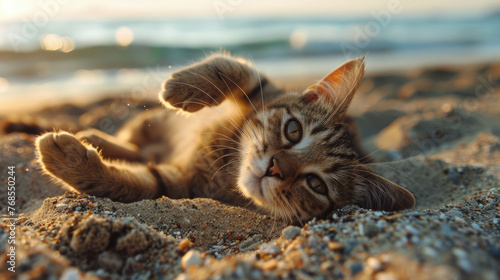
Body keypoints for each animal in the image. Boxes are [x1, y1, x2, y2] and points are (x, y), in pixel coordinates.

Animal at [35, 52, 416, 223]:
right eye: (293, 130)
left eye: (316, 185)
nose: (275, 167)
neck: (230, 159)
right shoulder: (263, 89)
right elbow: (234, 68)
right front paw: (181, 88)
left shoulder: (178, 185)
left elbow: (131, 183)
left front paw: (69, 160)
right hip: (147, 123)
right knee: (137, 145)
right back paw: (95, 135)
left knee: (142, 156)